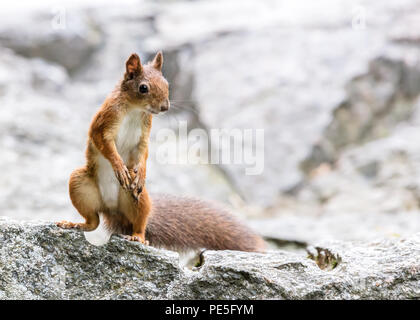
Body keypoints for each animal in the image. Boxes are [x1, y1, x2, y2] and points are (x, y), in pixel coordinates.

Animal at [56, 52, 266, 252]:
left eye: (167, 84)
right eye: (143, 88)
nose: (165, 107)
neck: (134, 109)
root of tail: (112, 209)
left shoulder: (144, 132)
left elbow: (143, 152)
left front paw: (141, 172)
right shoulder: (104, 122)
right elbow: (104, 144)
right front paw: (119, 166)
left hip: (138, 198)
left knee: (138, 223)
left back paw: (137, 237)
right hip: (80, 184)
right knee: (93, 221)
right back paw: (74, 224)